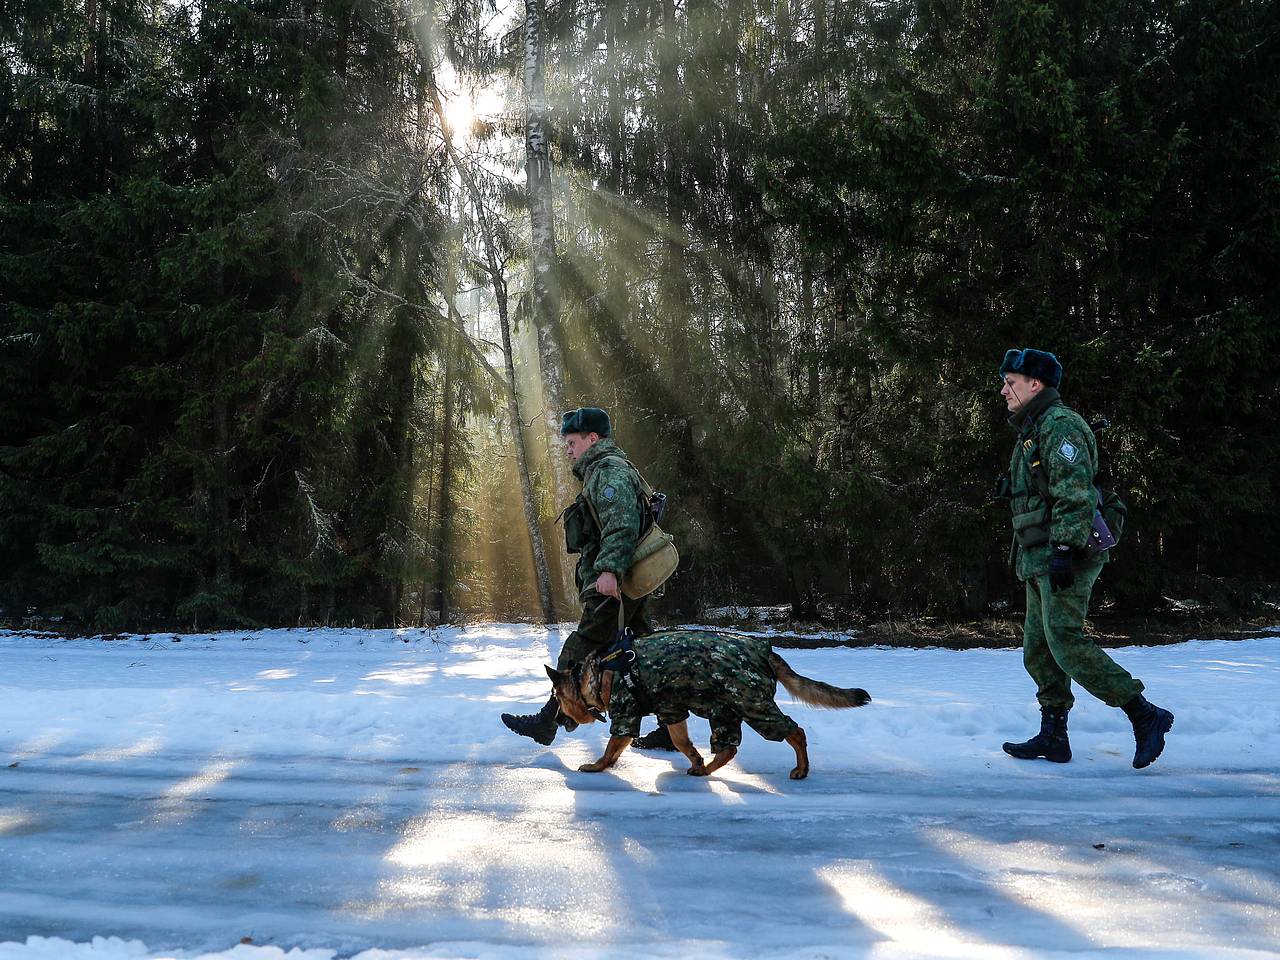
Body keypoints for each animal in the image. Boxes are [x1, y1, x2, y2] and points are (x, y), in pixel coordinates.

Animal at [542, 632, 870, 783]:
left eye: (557, 699)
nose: (555, 720)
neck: (597, 674)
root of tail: (765, 650)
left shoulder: (626, 714)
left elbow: (612, 747)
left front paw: (597, 765)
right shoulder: (672, 711)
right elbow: (682, 742)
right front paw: (696, 760)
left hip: (752, 704)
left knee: (795, 731)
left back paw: (802, 768)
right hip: (724, 710)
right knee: (729, 747)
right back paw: (705, 768)